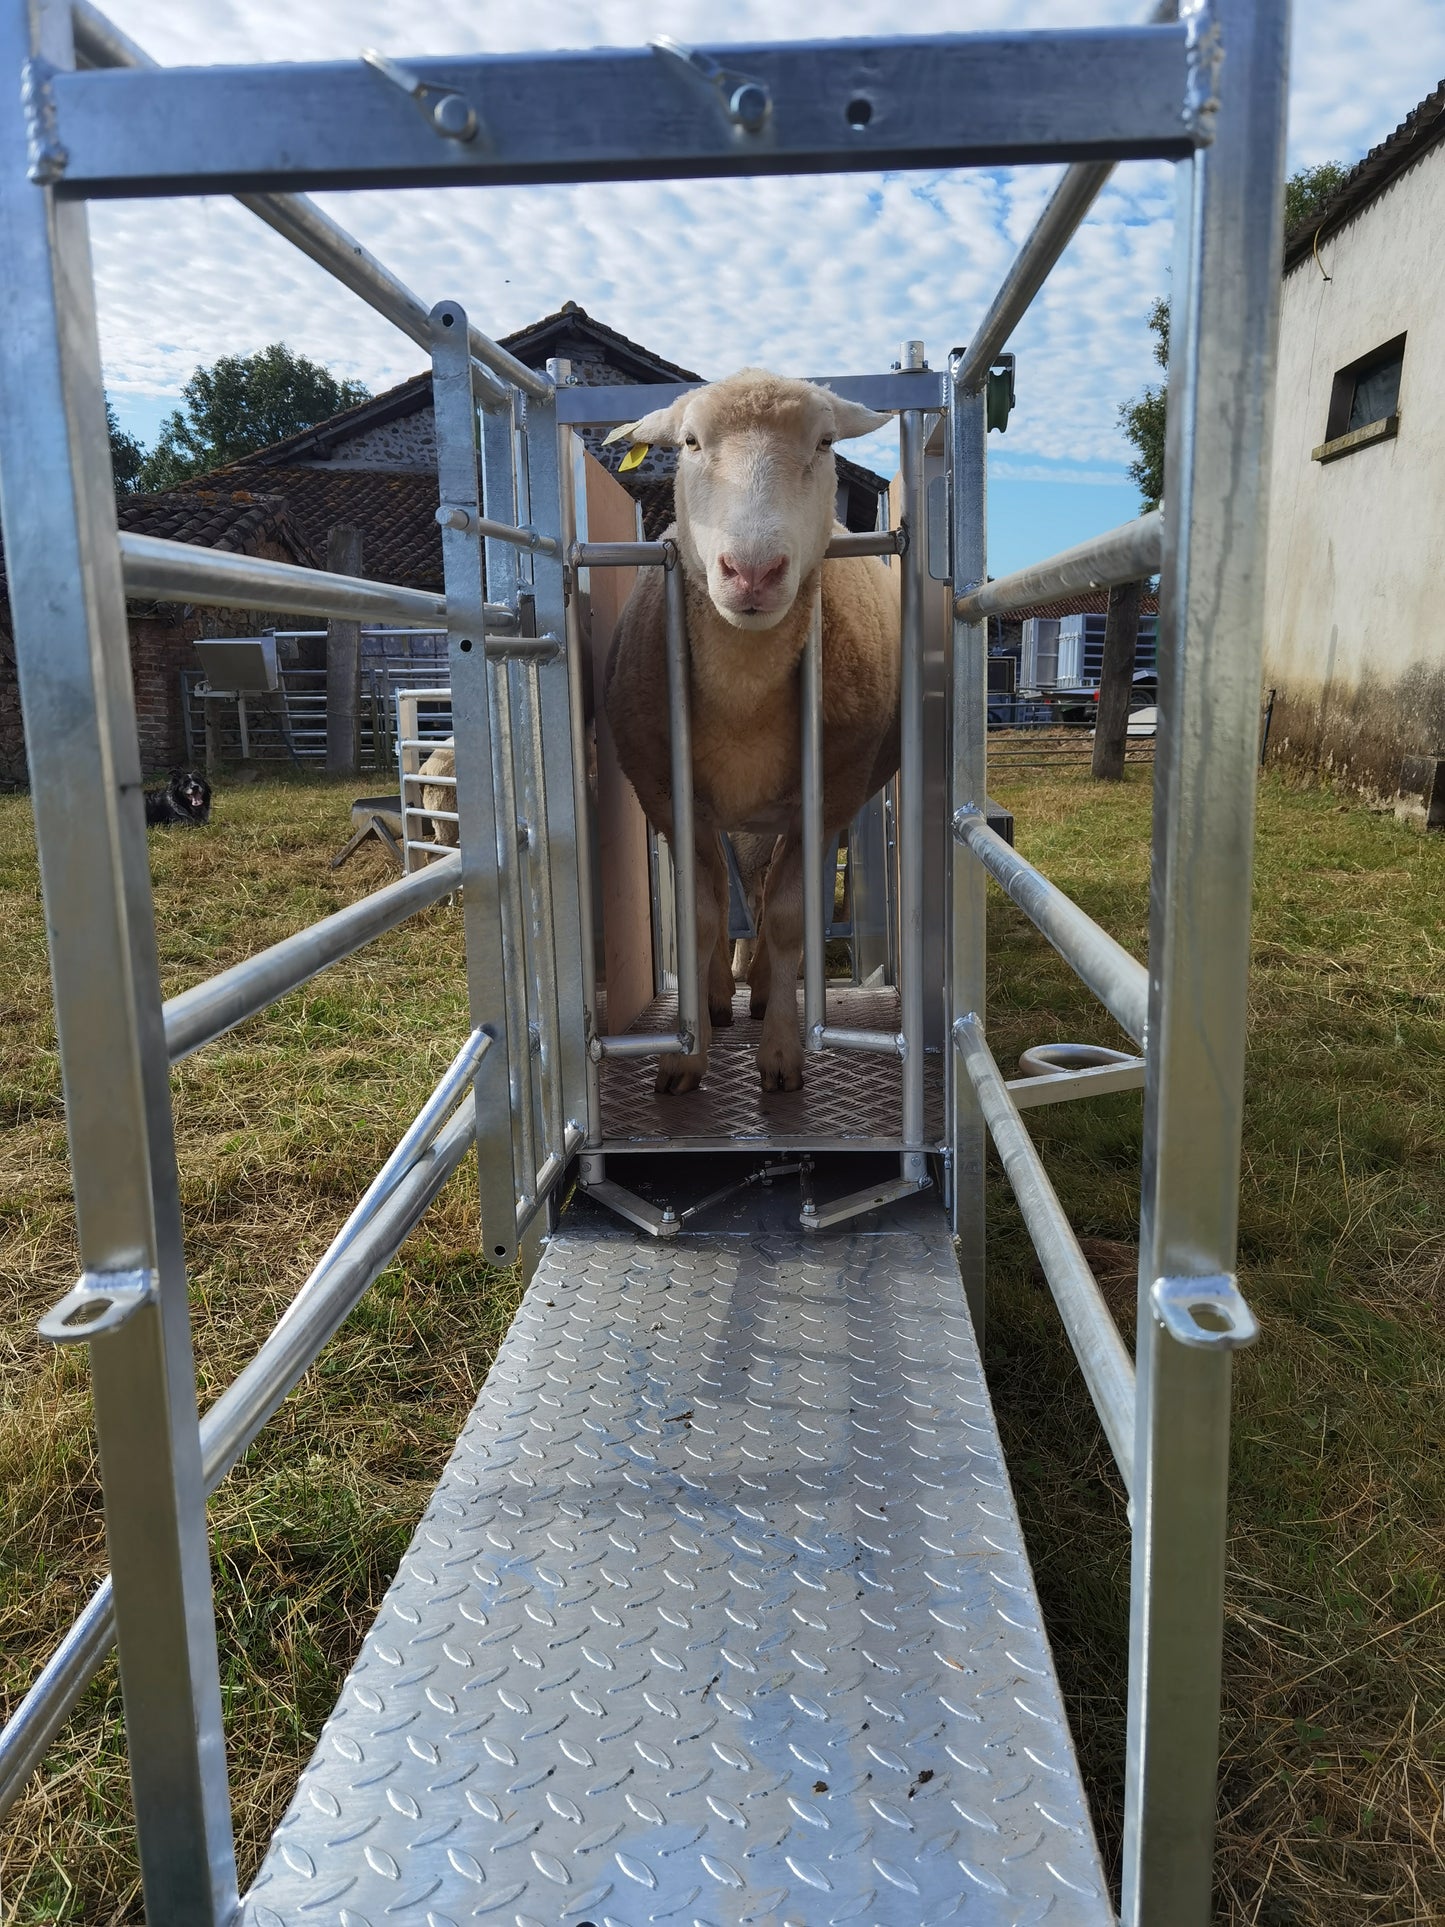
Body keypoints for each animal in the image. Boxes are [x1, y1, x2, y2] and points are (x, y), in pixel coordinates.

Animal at [597, 368, 893, 1094]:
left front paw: (782, 1052)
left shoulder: (828, 796)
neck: (743, 693)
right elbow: (701, 915)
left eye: (824, 443)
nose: (752, 572)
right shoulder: (669, 797)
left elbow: (786, 919)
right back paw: (715, 995)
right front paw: (685, 1055)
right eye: (689, 443)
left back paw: (756, 992)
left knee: (759, 900)